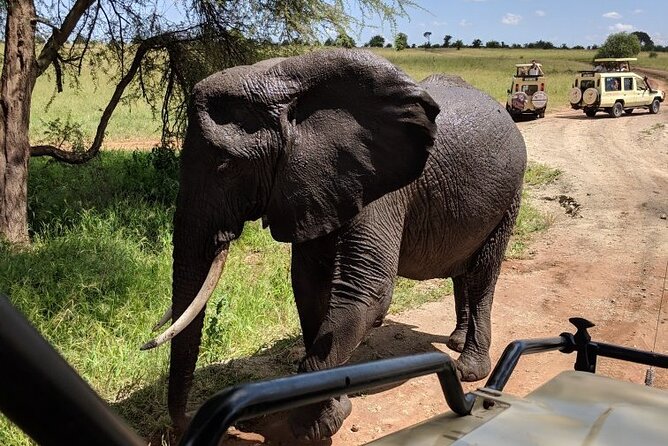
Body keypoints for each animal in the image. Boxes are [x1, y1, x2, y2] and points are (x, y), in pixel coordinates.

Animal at [141, 49, 527, 441]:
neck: (289, 83)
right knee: (464, 272)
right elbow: (309, 285)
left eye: (226, 165)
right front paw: (333, 406)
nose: (190, 422)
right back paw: (454, 342)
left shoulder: (380, 187)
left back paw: (468, 369)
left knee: (482, 274)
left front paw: (309, 429)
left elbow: (365, 294)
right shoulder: (315, 183)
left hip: (511, 190)